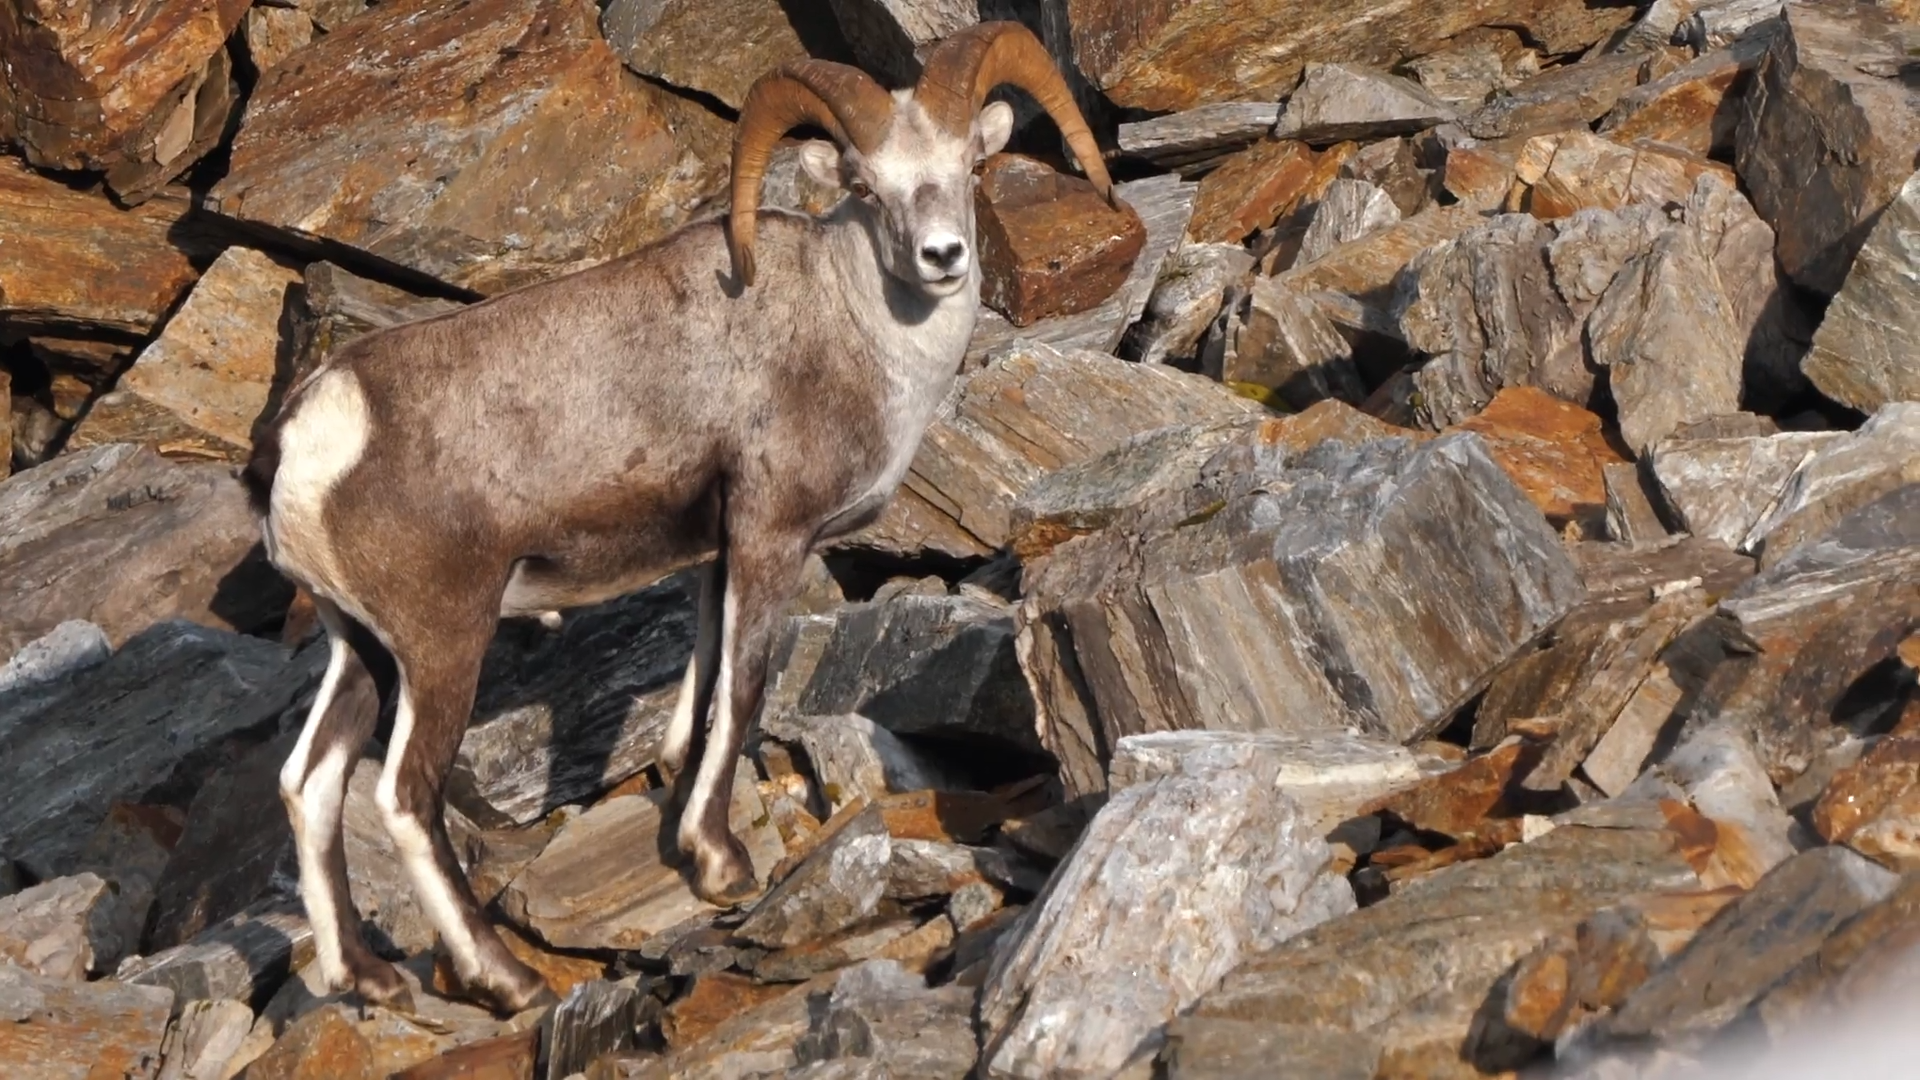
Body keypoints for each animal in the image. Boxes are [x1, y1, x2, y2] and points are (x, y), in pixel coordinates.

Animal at [240, 22, 1115, 1014]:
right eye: (864, 184)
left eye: (969, 163)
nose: (942, 257)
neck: (852, 330)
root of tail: (310, 434)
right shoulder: (770, 538)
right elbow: (741, 688)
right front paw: (722, 863)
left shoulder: (715, 555)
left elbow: (698, 691)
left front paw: (684, 833)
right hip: (441, 645)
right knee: (402, 797)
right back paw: (506, 980)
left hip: (362, 652)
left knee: (309, 784)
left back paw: (369, 976)